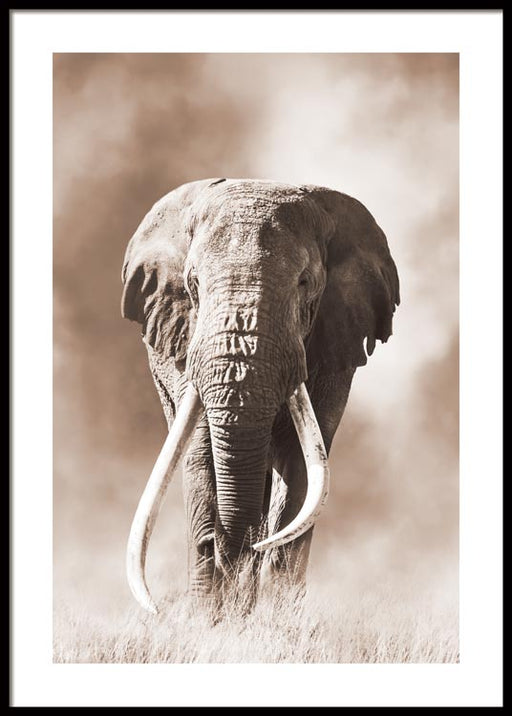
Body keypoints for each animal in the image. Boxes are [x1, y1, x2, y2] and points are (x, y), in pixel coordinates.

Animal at [121, 178, 400, 616]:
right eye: (193, 284)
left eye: (305, 283)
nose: (231, 546)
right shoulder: (185, 341)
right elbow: (200, 451)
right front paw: (207, 618)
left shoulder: (335, 342)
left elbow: (303, 465)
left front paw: (277, 616)